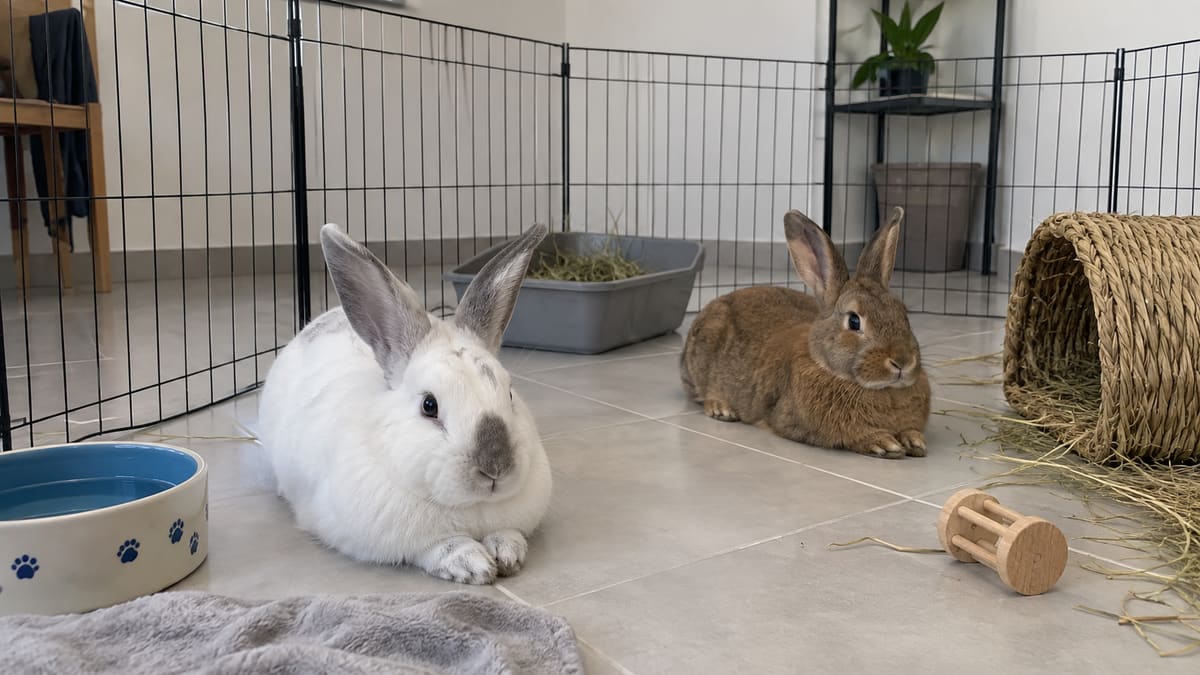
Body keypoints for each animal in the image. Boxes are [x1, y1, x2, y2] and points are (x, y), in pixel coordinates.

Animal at [258, 223, 553, 584]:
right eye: (429, 405)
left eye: (510, 394)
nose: (496, 467)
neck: (472, 506)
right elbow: (439, 546)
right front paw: (473, 565)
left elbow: (508, 533)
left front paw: (507, 553)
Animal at [681, 207, 930, 459]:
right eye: (854, 320)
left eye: (903, 314)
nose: (902, 361)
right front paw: (883, 442)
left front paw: (914, 440)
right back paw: (721, 408)